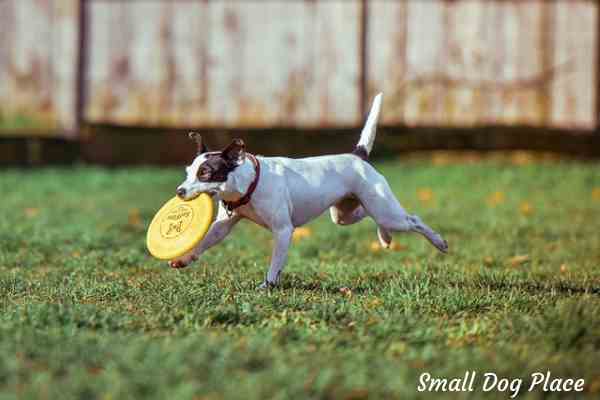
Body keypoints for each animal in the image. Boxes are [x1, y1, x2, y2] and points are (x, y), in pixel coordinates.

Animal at [171, 94, 448, 288]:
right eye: (188, 171)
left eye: (205, 173)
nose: (179, 191)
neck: (248, 183)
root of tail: (357, 156)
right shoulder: (222, 226)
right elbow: (205, 241)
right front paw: (184, 258)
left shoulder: (283, 231)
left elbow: (275, 264)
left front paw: (267, 286)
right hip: (345, 214)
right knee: (367, 215)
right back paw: (385, 237)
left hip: (387, 211)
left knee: (413, 220)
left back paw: (438, 241)